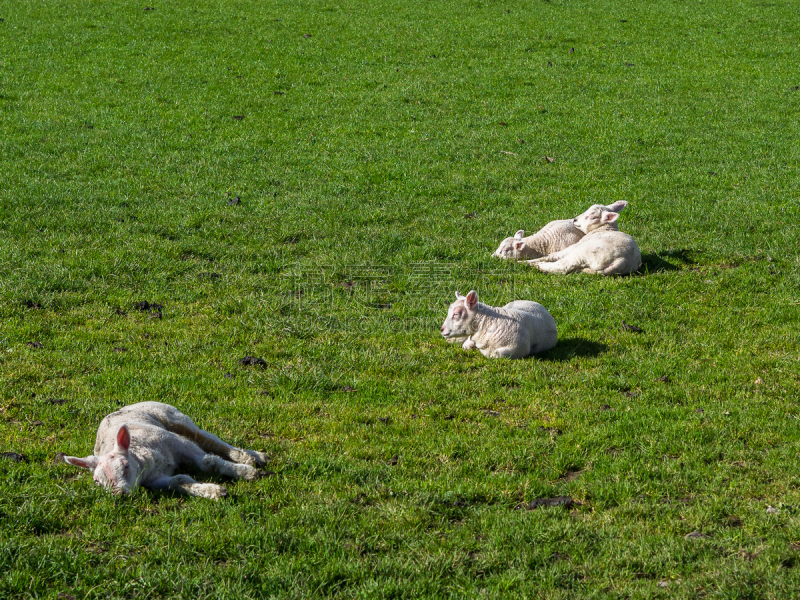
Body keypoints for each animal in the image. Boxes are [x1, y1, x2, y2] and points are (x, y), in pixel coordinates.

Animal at [62, 404, 268, 502]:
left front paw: (247, 473)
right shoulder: (155, 480)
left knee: (208, 439)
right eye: (97, 481)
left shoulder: (177, 442)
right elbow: (179, 480)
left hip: (174, 417)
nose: (118, 494)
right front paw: (214, 492)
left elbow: (209, 462)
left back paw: (250, 457)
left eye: (126, 466)